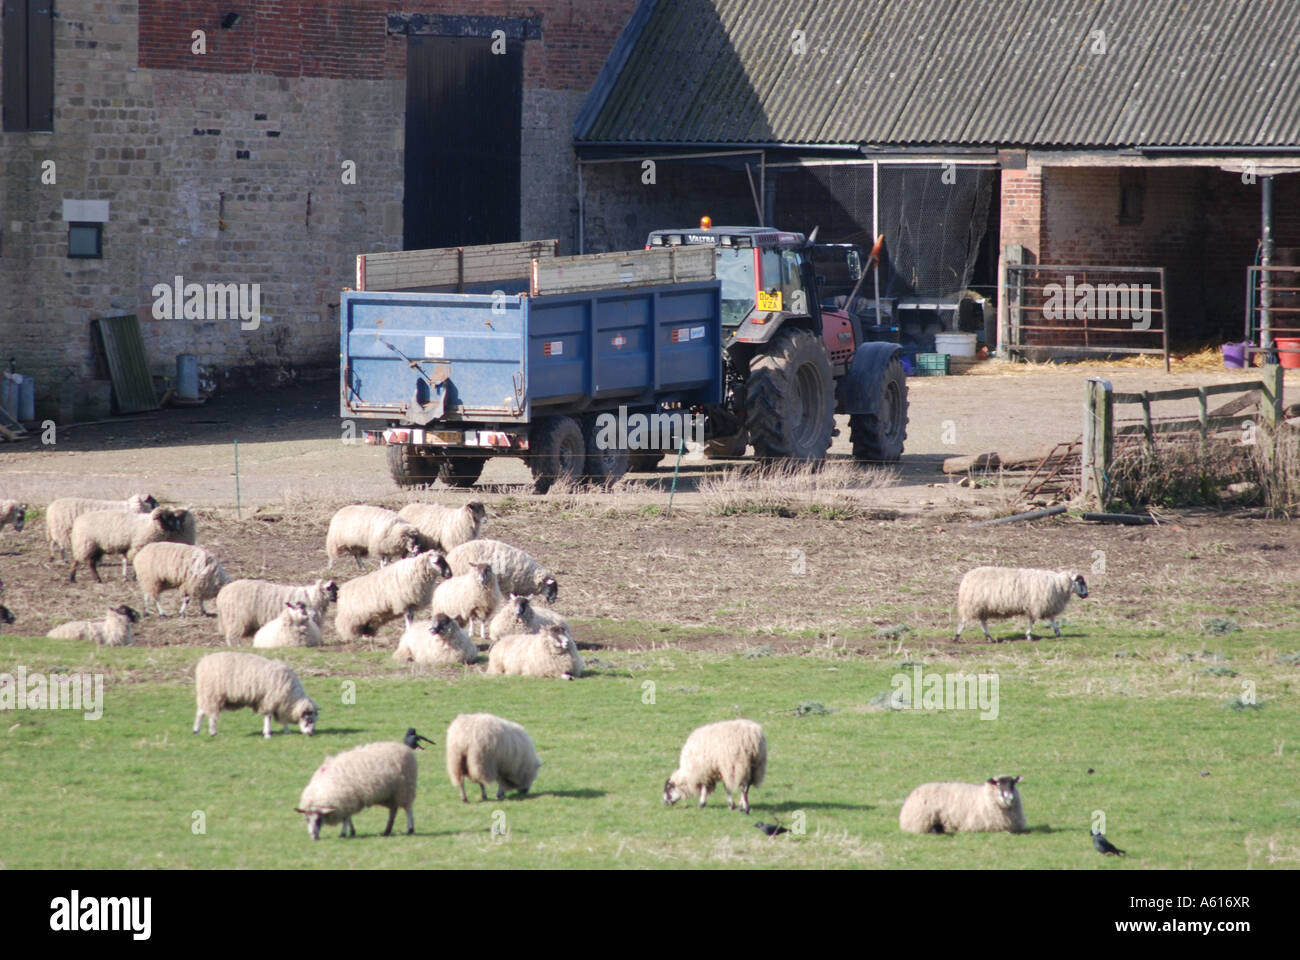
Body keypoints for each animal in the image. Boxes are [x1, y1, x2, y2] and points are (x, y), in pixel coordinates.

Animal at [951, 564, 1092, 640]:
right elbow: (1033, 620)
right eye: (1080, 582)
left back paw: (989, 637)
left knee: (982, 622)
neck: (1059, 584)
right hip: (973, 604)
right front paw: (1028, 635)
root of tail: (966, 579)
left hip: (982, 606)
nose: (1086, 595)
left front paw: (1058, 633)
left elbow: (1052, 620)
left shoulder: (1045, 605)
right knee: (965, 621)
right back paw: (956, 636)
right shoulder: (1037, 604)